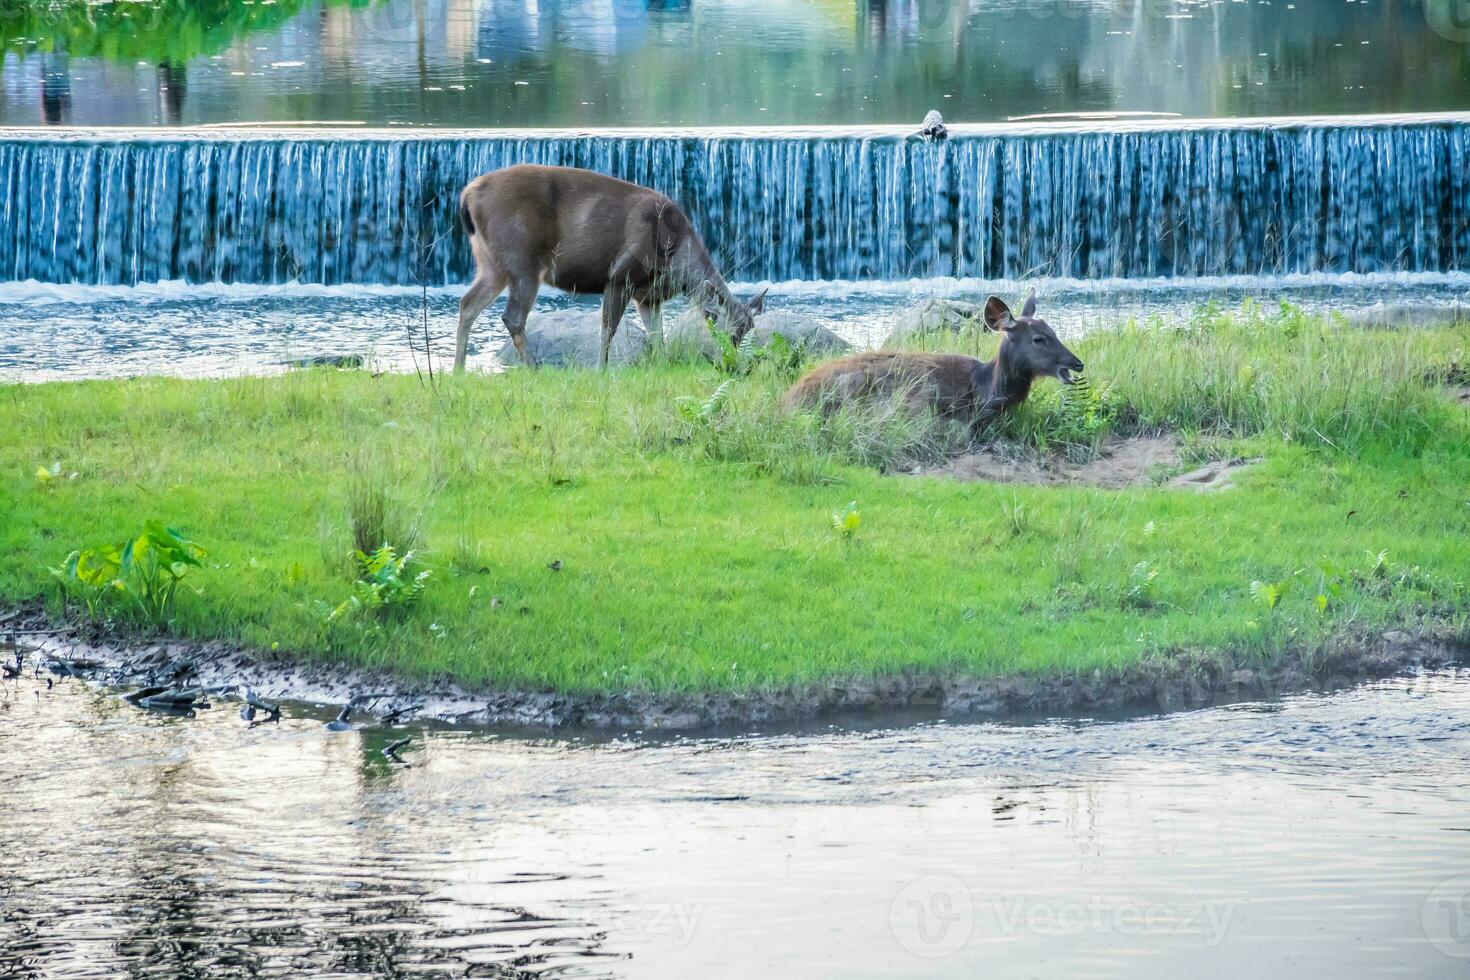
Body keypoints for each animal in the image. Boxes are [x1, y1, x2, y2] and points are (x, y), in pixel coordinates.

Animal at [452, 164, 764, 371]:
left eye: (747, 332)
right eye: (729, 333)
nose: (734, 365)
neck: (675, 258)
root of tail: (467, 196)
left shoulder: (648, 297)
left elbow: (657, 336)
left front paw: (661, 365)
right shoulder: (619, 276)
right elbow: (608, 330)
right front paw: (602, 371)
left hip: (491, 262)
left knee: (468, 303)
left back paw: (459, 369)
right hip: (521, 258)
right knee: (512, 316)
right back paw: (534, 368)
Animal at [787, 293, 1087, 426]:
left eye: (1053, 331)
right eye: (1039, 338)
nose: (1077, 363)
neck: (983, 390)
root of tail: (786, 401)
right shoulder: (923, 402)